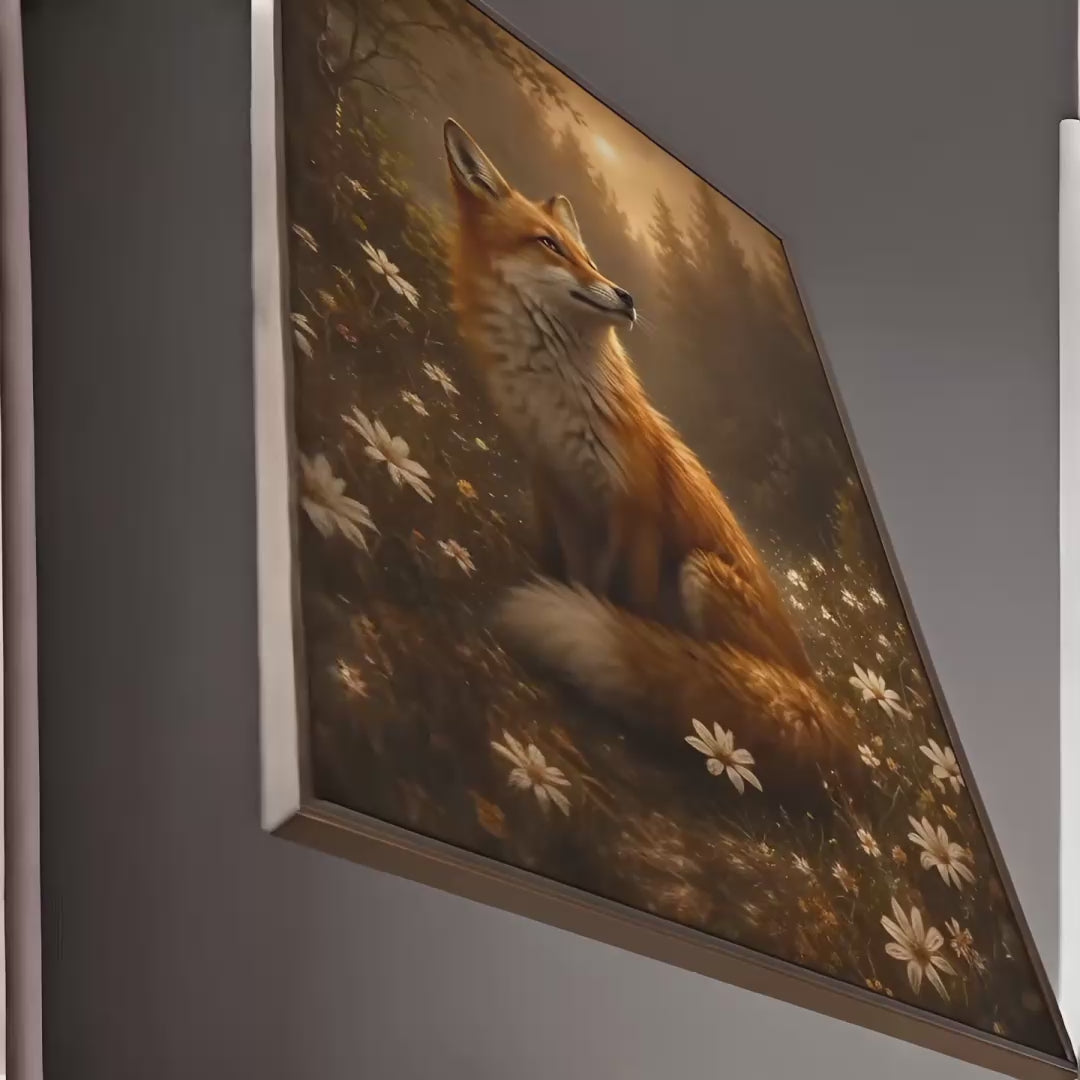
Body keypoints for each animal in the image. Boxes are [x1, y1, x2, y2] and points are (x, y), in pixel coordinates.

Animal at [443, 119, 855, 786]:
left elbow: (625, 608)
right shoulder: (563, 494)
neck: (556, 401)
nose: (627, 296)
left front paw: (637, 670)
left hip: (701, 573)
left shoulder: (637, 513)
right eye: (549, 246)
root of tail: (821, 698)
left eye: (586, 254)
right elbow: (581, 581)